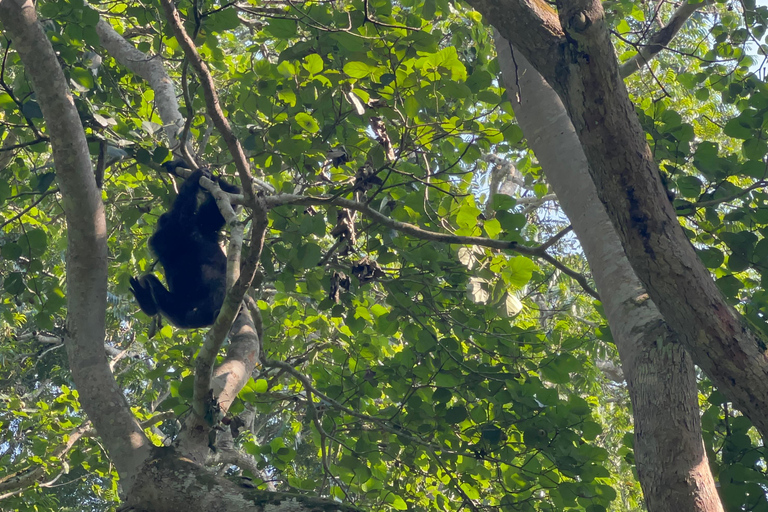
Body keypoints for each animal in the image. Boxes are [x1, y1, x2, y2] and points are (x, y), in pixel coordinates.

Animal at [130, 159, 240, 328]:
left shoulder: (204, 222)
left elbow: (230, 192)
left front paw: (179, 165)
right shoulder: (167, 234)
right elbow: (179, 215)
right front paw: (194, 176)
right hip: (181, 312)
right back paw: (147, 302)